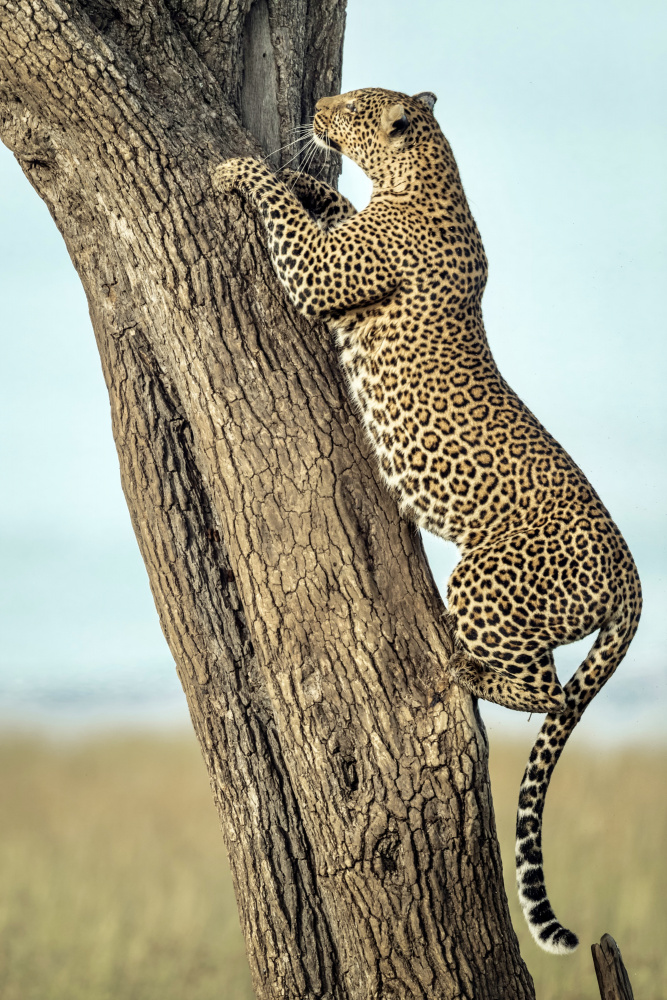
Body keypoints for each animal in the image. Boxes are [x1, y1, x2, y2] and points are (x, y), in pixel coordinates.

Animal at [213, 87, 642, 955]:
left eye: (349, 106)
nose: (317, 105)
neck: (424, 177)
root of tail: (633, 574)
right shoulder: (345, 240)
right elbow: (325, 210)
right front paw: (309, 185)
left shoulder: (320, 277)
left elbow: (283, 218)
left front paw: (239, 170)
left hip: (485, 577)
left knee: (542, 687)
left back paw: (462, 671)